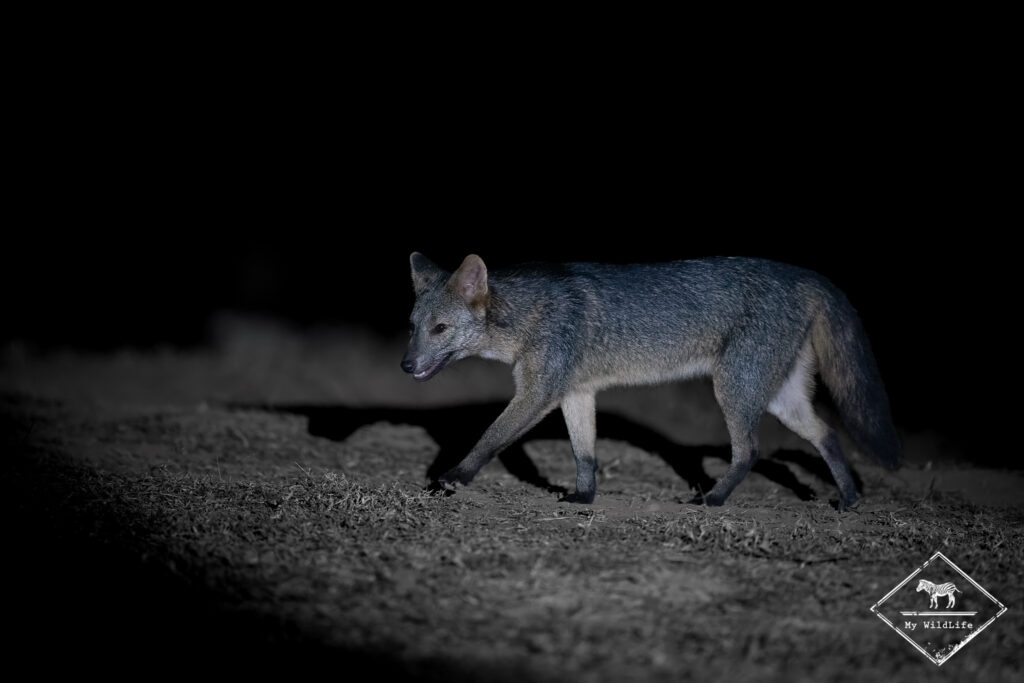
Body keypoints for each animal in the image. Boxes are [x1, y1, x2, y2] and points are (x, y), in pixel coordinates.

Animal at [401, 253, 900, 511]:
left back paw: (713, 499)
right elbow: (585, 454)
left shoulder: (538, 392)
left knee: (751, 451)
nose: (405, 365)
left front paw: (453, 478)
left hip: (734, 389)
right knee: (828, 434)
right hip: (779, 399)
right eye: (412, 326)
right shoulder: (575, 392)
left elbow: (488, 438)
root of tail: (805, 274)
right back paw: (848, 499)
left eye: (440, 329)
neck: (530, 314)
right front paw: (584, 497)